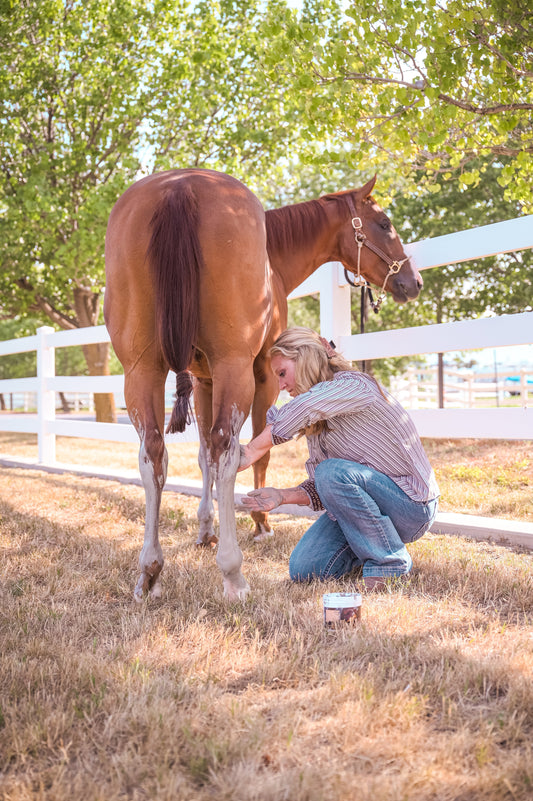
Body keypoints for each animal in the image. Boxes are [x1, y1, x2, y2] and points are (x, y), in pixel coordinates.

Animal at [103, 172, 420, 604]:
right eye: (384, 223)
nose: (412, 281)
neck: (274, 258)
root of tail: (181, 185)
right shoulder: (263, 375)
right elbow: (253, 451)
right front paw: (259, 521)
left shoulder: (203, 380)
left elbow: (203, 456)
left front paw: (206, 528)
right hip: (233, 367)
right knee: (225, 448)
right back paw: (233, 574)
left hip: (141, 370)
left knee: (154, 453)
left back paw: (149, 572)